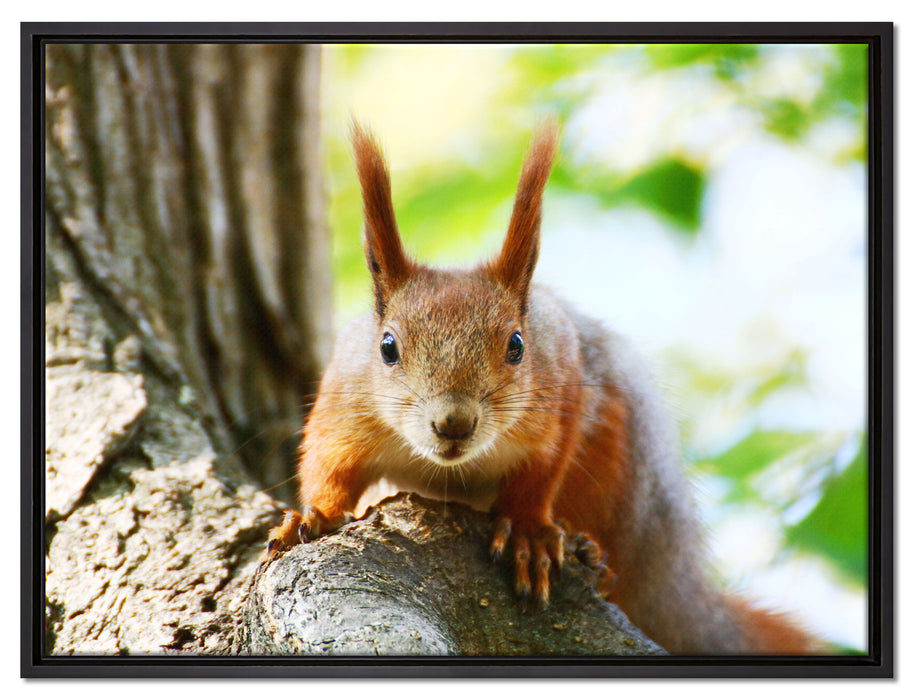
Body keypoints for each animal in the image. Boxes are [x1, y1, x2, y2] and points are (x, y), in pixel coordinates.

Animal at [266, 121, 818, 655]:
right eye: (386, 347)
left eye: (516, 344)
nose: (454, 423)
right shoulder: (345, 403)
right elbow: (328, 465)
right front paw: (313, 515)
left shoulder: (561, 392)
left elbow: (542, 470)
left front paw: (529, 532)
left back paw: (594, 557)